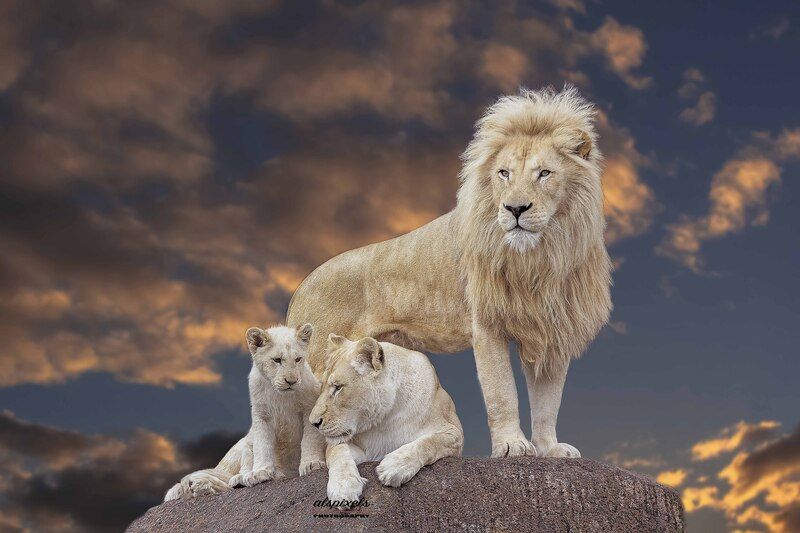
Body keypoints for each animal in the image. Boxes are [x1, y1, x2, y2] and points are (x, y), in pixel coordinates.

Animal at [288, 86, 612, 459]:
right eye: (504, 173)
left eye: (544, 173)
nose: (515, 209)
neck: (539, 256)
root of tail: (302, 285)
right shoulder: (487, 326)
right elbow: (502, 393)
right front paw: (511, 445)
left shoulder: (551, 330)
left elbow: (548, 401)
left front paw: (548, 448)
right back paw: (311, 465)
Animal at [309, 334, 463, 504]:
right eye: (321, 387)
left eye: (338, 387)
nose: (313, 423)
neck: (385, 421)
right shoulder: (357, 450)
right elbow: (338, 452)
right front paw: (343, 486)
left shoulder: (454, 430)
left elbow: (429, 442)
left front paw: (395, 466)